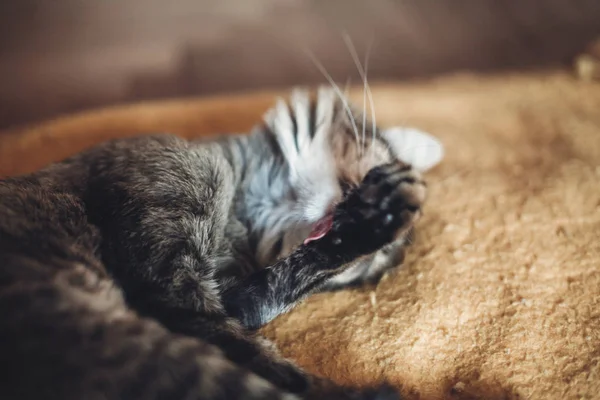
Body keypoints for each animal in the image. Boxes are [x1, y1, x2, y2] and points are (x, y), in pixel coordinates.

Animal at [0, 88, 440, 400]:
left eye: (366, 270)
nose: (384, 248)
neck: (240, 211)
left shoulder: (226, 299)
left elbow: (271, 294)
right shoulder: (173, 289)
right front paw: (384, 210)